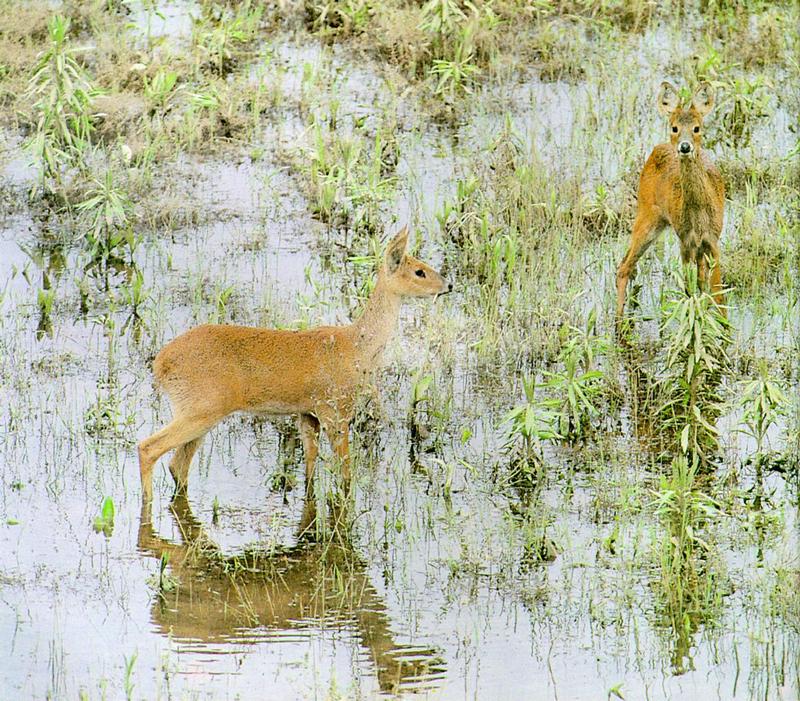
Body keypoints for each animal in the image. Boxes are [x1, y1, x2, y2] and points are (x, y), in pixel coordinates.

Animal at [138, 230, 450, 508]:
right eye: (420, 271)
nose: (448, 285)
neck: (356, 347)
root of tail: (160, 364)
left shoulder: (307, 414)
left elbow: (310, 471)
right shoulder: (335, 411)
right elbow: (346, 476)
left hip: (200, 414)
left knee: (177, 466)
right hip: (200, 409)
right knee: (148, 449)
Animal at [616, 81, 728, 318]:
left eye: (697, 128)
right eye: (674, 127)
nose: (685, 146)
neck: (699, 215)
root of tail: (657, 149)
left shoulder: (712, 239)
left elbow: (717, 295)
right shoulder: (685, 240)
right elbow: (689, 292)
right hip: (647, 217)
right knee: (624, 266)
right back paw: (619, 322)